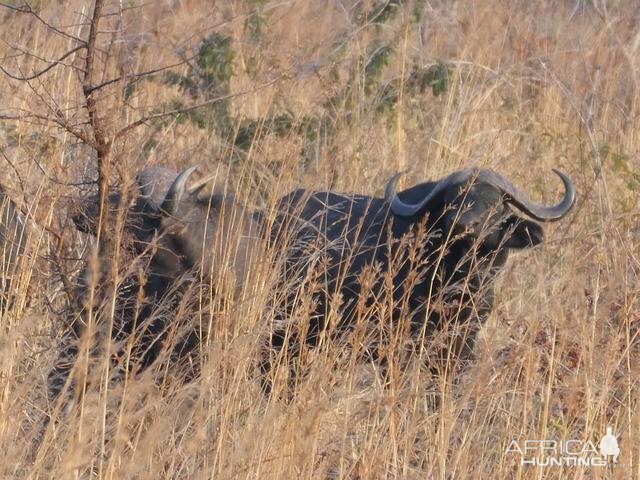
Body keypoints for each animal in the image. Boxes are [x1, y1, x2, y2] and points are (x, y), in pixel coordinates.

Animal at [260, 167, 576, 392]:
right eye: (452, 199)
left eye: (493, 203)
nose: (463, 224)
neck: (457, 278)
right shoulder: (396, 346)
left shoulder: (461, 345)